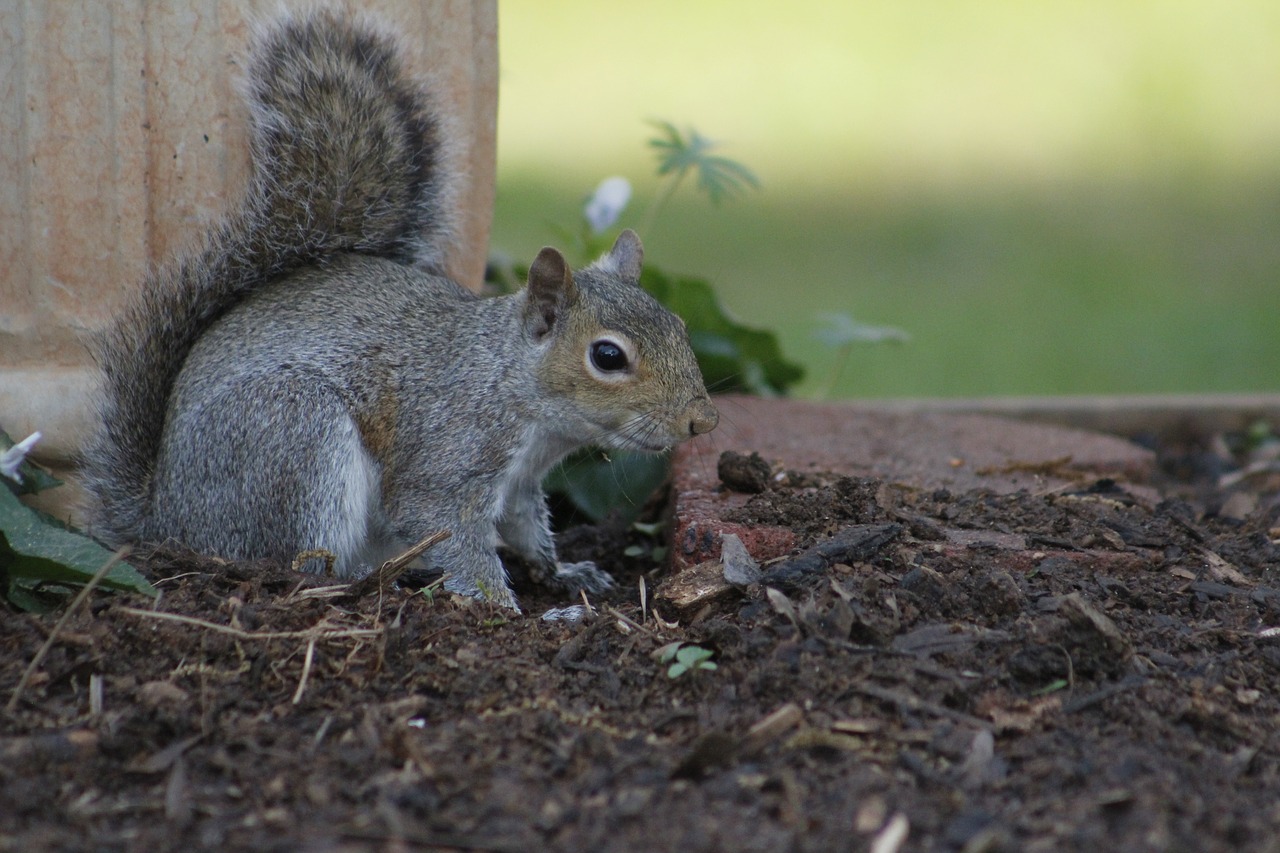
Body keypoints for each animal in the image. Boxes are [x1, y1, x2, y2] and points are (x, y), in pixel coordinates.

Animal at [80, 4, 721, 604]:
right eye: (608, 357)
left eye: (679, 325)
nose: (703, 421)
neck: (515, 389)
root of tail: (166, 518)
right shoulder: (448, 452)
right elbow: (445, 527)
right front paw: (502, 604)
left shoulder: (519, 483)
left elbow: (525, 527)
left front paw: (563, 572)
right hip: (293, 436)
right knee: (298, 561)